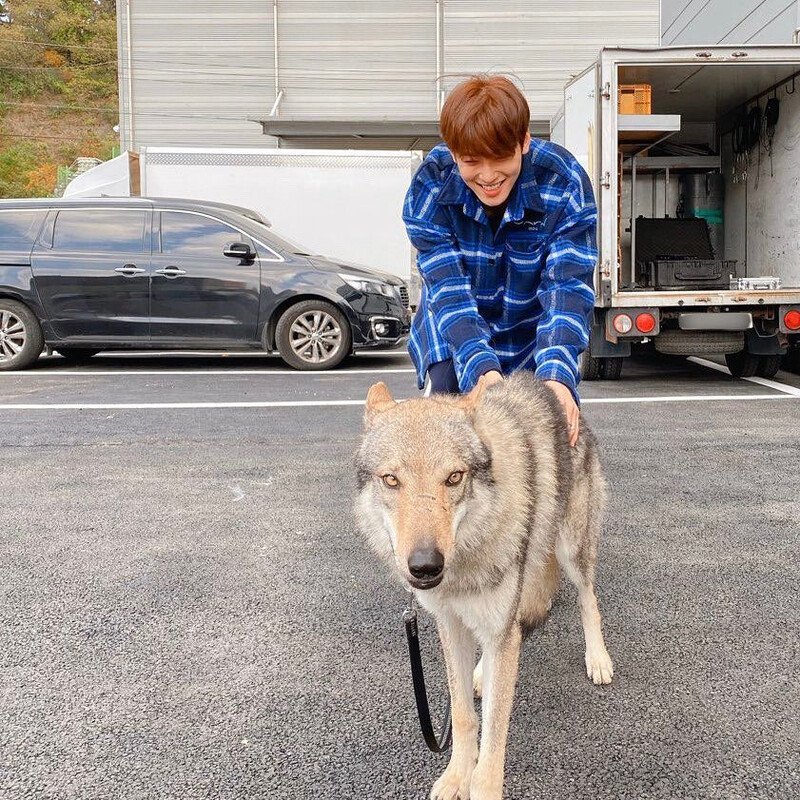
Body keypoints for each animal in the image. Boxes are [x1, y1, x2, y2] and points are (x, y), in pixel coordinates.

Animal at [354, 372, 612, 796]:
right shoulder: (450, 624)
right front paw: (457, 776)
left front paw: (482, 788)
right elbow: (462, 716)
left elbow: (494, 734)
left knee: (587, 601)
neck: (464, 561)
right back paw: (481, 673)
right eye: (391, 480)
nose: (425, 566)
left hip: (572, 550)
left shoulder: (498, 627)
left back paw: (598, 659)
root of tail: (553, 390)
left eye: (454, 477)